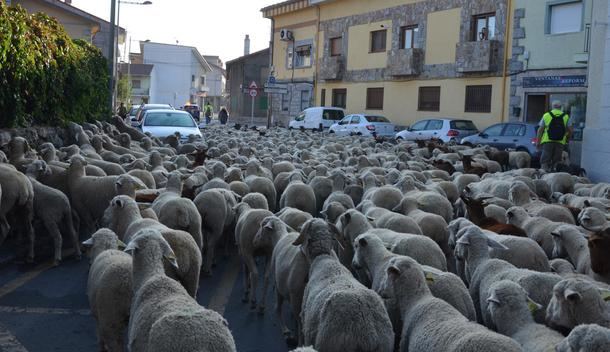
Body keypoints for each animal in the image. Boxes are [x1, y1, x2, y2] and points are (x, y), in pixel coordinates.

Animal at [252, 216, 306, 346]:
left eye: (262, 225)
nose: (254, 241)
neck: (280, 237)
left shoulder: (278, 285)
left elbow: (278, 308)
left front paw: (286, 331)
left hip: (296, 295)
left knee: (300, 320)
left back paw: (300, 342)